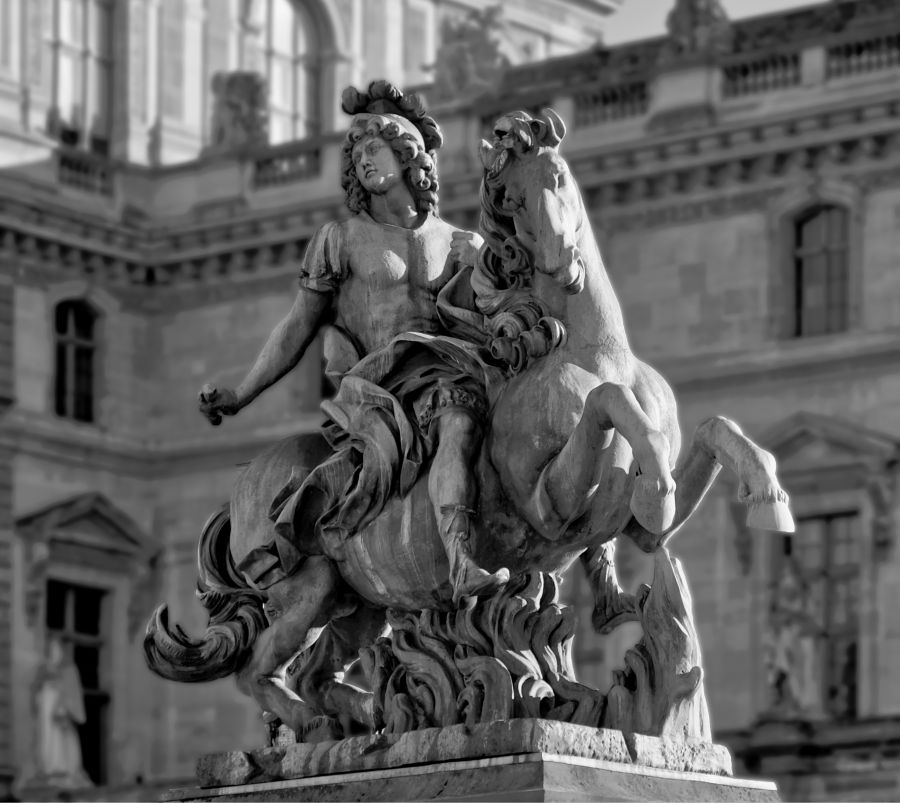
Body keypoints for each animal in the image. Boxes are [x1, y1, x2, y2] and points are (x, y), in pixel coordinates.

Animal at [146, 107, 796, 740]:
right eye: (508, 196)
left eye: (560, 175)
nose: (560, 261)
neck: (594, 349)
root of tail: (246, 481)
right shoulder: (549, 503)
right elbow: (611, 404)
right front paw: (659, 483)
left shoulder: (636, 530)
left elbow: (715, 428)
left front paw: (767, 494)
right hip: (309, 585)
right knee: (259, 671)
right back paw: (327, 716)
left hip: (359, 602)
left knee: (315, 671)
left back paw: (363, 715)